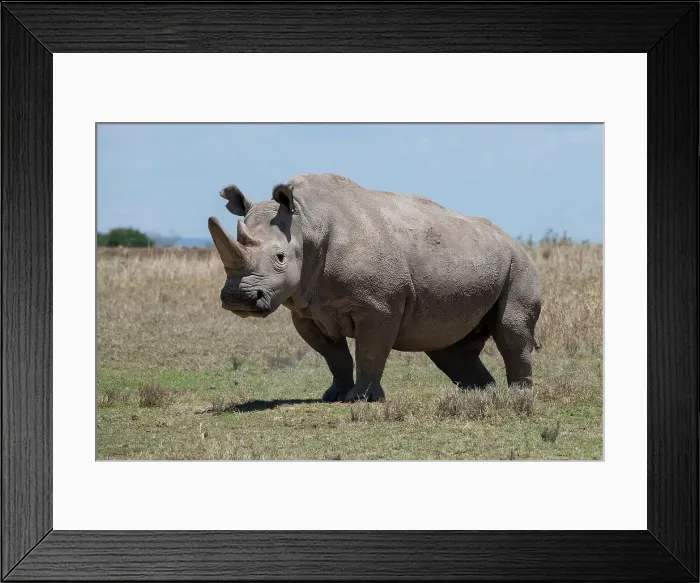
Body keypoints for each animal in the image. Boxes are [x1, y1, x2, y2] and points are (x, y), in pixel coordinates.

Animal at [208, 173, 542, 402]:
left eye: (280, 258)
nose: (238, 297)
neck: (306, 223)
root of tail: (511, 238)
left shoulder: (378, 306)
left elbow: (370, 351)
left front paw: (362, 399)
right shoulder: (307, 309)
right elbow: (335, 357)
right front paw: (333, 396)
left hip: (519, 264)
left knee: (511, 330)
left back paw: (518, 398)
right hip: (472, 257)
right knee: (448, 346)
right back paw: (478, 395)